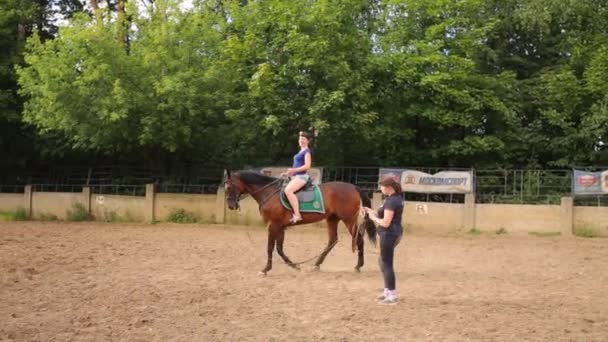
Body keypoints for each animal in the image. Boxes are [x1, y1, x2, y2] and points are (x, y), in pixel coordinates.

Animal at [223, 170, 376, 276]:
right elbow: (279, 248)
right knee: (333, 240)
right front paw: (294, 265)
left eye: (229, 187)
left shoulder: (273, 225)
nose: (231, 206)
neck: (269, 193)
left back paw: (358, 266)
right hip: (332, 219)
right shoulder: (281, 227)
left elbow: (270, 248)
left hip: (348, 219)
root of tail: (353, 187)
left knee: (359, 239)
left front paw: (265, 269)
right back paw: (316, 264)